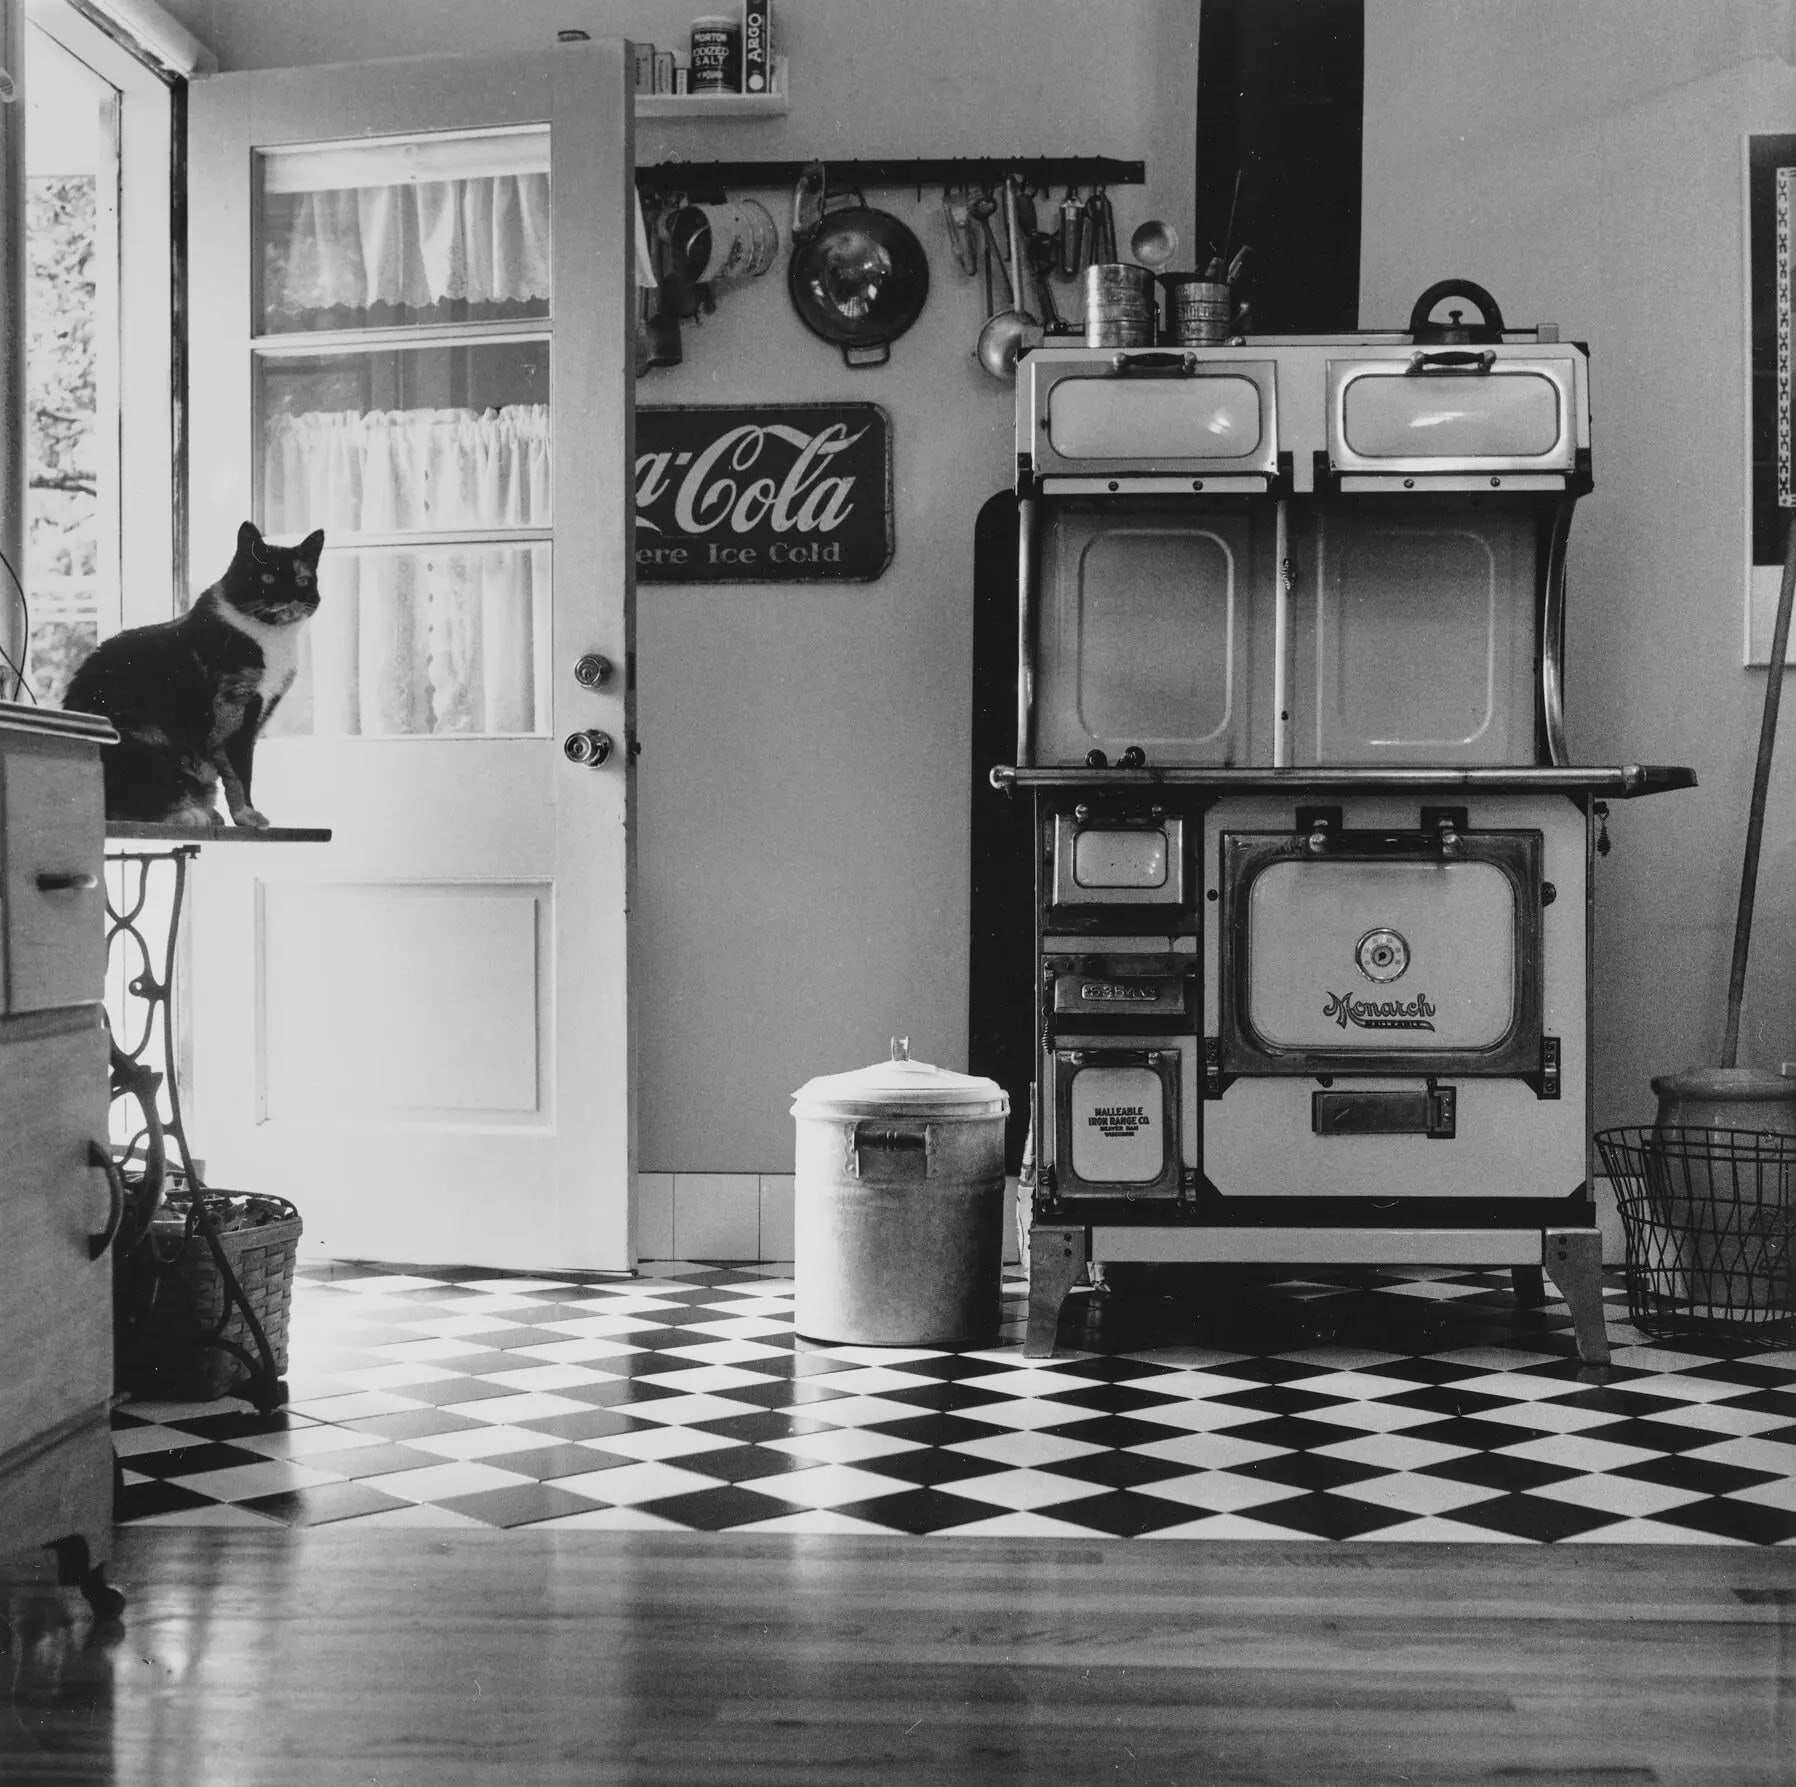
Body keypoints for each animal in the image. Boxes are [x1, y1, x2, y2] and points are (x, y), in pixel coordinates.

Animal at [65, 517, 325, 826]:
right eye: (267, 578)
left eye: (302, 580)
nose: (288, 598)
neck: (271, 637)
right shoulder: (233, 706)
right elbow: (240, 770)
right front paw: (246, 815)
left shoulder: (260, 712)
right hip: (145, 742)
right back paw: (188, 814)